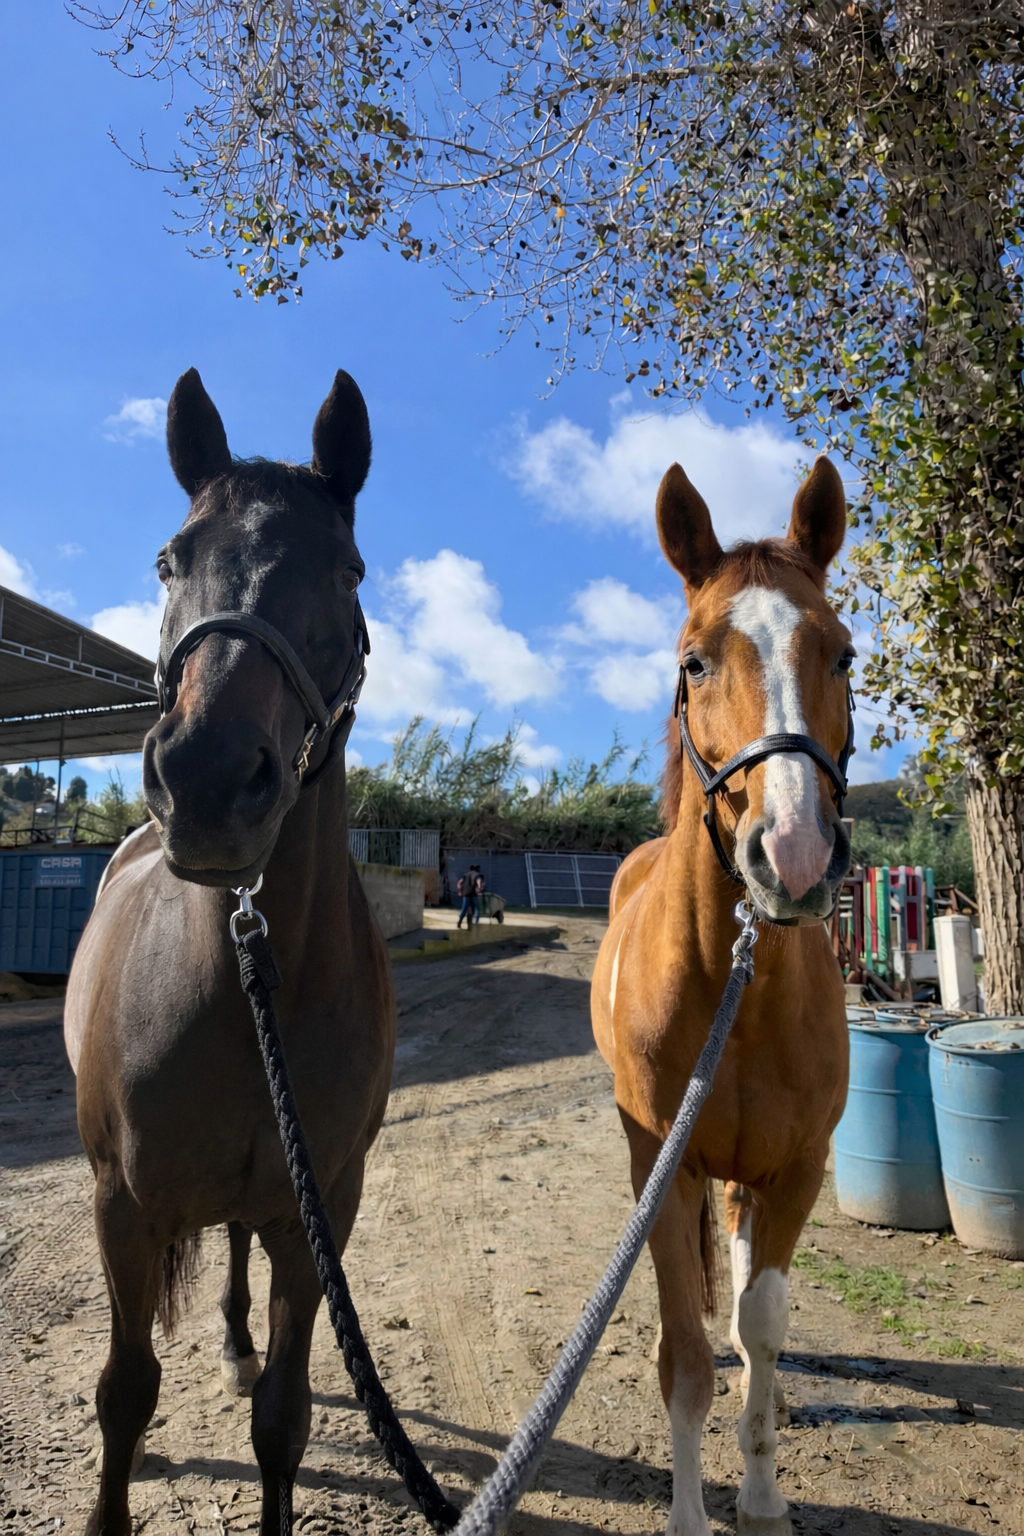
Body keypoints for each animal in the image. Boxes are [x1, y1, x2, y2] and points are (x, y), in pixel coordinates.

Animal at [64, 367, 394, 1536]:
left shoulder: (317, 1211)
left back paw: (239, 1340)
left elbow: (283, 1421)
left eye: (345, 569)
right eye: (171, 558)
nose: (207, 780)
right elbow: (125, 1391)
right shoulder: (121, 1206)